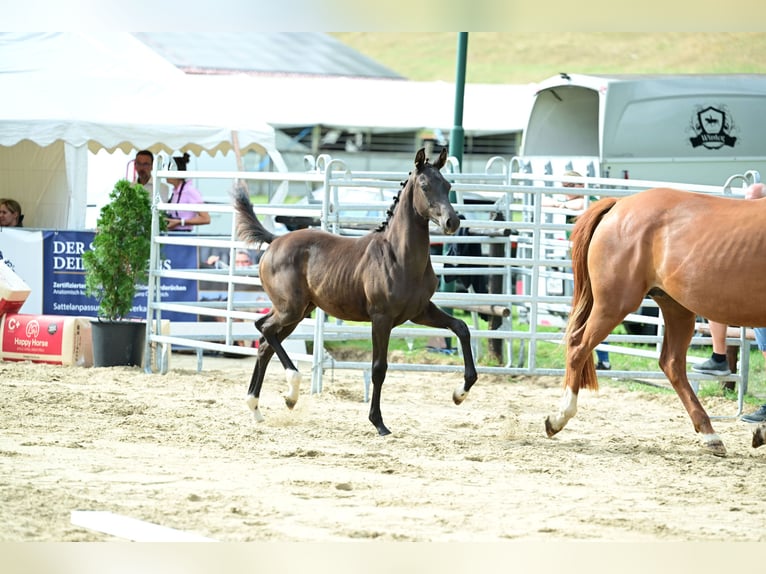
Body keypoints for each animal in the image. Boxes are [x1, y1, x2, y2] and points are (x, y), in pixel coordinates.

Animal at [231, 147, 478, 436]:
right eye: (425, 186)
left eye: (448, 185)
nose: (452, 221)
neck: (399, 256)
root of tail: (275, 240)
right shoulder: (381, 319)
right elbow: (378, 368)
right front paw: (379, 423)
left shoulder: (420, 312)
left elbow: (461, 327)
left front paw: (459, 393)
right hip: (290, 309)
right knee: (264, 328)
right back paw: (291, 392)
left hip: (299, 313)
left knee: (264, 345)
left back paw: (257, 408)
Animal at [545, 187, 766, 456]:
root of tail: (618, 205)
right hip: (614, 305)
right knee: (578, 346)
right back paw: (558, 419)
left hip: (677, 309)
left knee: (672, 364)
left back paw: (710, 434)